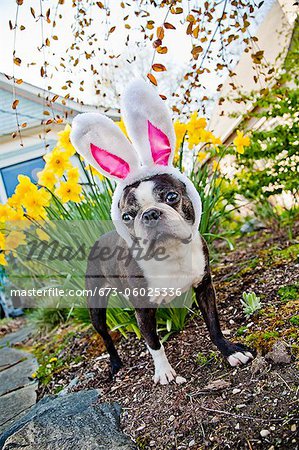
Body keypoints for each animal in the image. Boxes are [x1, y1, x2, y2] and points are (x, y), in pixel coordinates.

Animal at [71, 80, 255, 384]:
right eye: (127, 216)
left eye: (170, 197)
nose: (150, 214)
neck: (171, 254)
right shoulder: (143, 310)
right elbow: (153, 342)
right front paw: (165, 372)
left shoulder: (205, 287)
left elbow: (214, 324)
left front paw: (229, 351)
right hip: (95, 305)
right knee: (106, 336)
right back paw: (115, 364)